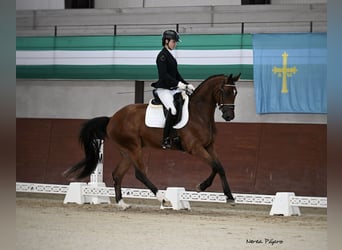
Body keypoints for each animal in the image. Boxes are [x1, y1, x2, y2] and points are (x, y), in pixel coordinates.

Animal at [64, 73, 240, 210]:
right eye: (225, 91)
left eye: (235, 93)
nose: (229, 116)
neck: (199, 113)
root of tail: (112, 119)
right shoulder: (195, 148)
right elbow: (216, 166)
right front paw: (202, 187)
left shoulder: (209, 146)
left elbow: (219, 168)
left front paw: (228, 196)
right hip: (134, 148)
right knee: (140, 174)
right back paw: (164, 199)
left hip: (127, 151)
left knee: (117, 175)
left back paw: (122, 204)